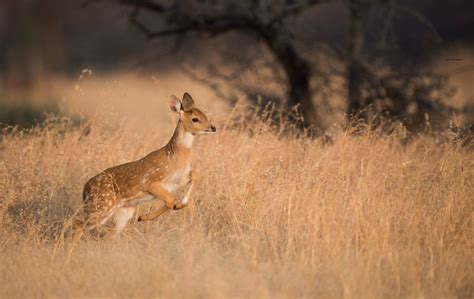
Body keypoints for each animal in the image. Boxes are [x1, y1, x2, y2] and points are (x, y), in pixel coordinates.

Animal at [74, 92, 217, 238]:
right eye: (195, 119)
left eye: (205, 115)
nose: (213, 127)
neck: (176, 158)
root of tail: (85, 189)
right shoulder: (150, 182)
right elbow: (170, 201)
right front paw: (144, 217)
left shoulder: (181, 180)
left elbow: (195, 176)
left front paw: (179, 205)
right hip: (101, 205)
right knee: (78, 223)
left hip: (123, 210)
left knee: (110, 233)